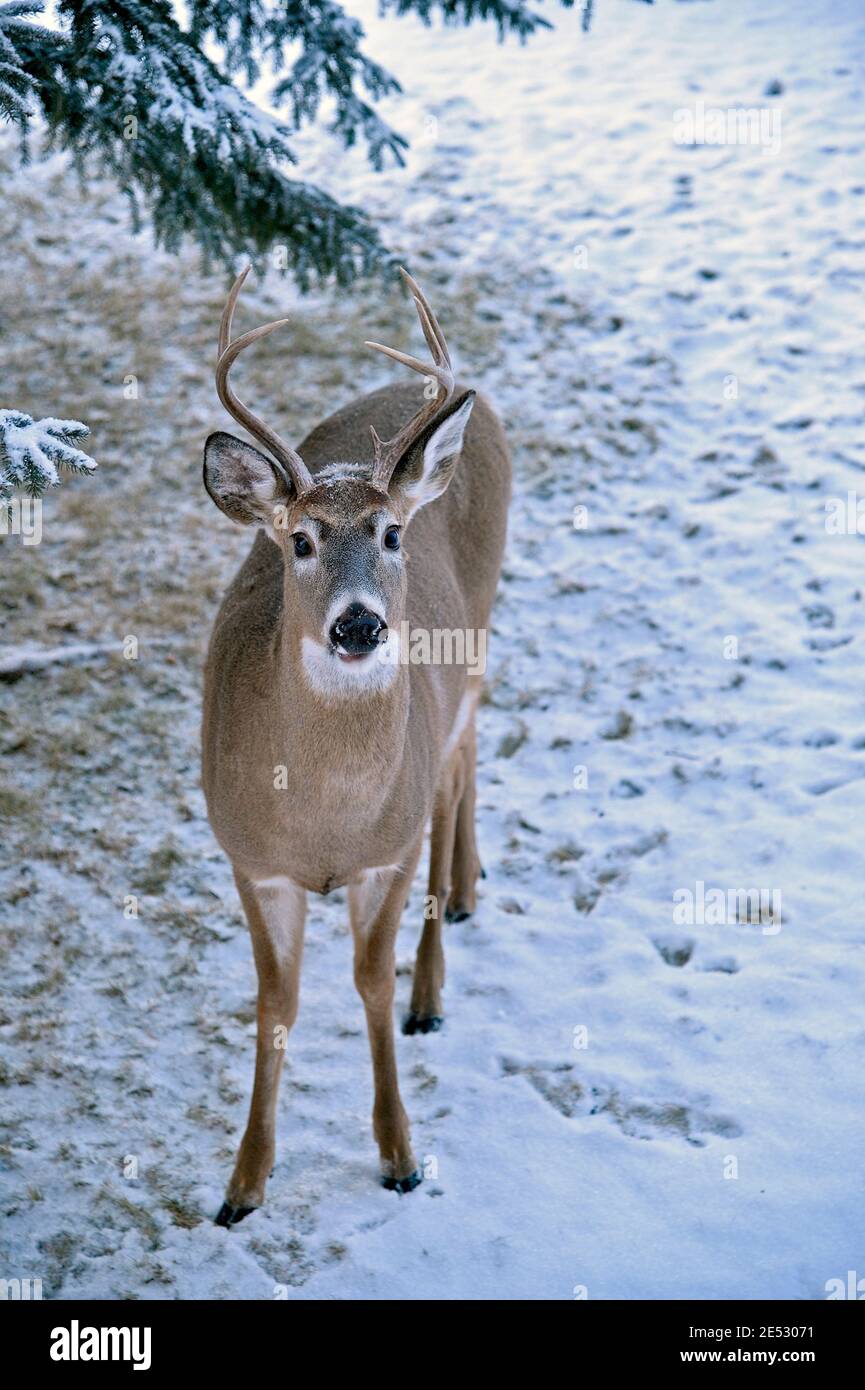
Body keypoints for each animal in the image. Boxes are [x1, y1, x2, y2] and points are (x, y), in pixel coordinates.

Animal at [201, 266, 511, 1225]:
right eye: (299, 540)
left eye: (391, 534)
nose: (361, 624)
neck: (324, 822)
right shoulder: (249, 857)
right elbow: (275, 1001)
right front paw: (243, 1183)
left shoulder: (387, 849)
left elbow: (370, 985)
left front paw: (401, 1156)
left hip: (476, 635)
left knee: (458, 761)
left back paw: (441, 956)